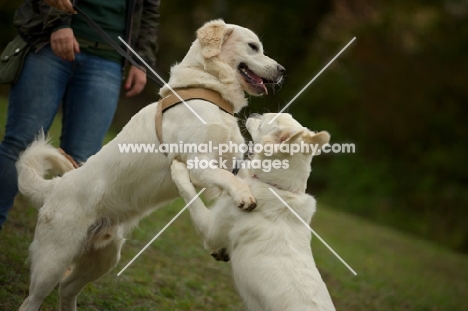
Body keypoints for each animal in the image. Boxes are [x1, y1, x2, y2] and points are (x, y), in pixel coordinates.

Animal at [16, 20, 284, 311]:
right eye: (253, 47)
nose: (282, 71)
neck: (208, 92)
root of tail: (55, 187)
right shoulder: (198, 162)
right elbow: (230, 180)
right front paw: (245, 197)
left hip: (104, 258)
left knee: (66, 289)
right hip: (53, 260)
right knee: (32, 300)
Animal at [170, 114, 334, 311]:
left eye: (262, 122)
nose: (255, 115)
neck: (278, 187)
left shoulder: (211, 231)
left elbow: (191, 195)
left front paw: (178, 170)